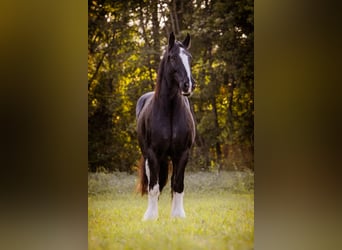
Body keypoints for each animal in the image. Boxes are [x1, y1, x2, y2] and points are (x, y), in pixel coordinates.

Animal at [136, 32, 195, 220]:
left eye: (189, 57)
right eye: (173, 57)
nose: (188, 85)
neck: (169, 110)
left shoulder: (182, 154)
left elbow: (178, 184)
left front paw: (178, 215)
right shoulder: (153, 154)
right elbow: (153, 187)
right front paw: (150, 216)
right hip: (151, 158)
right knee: (153, 182)